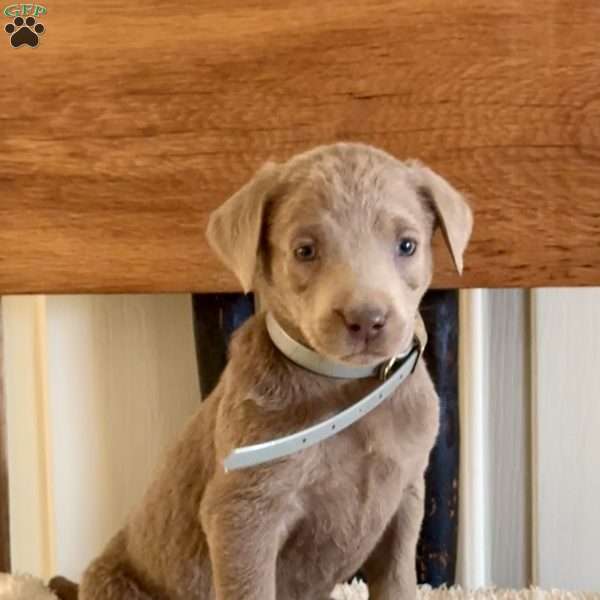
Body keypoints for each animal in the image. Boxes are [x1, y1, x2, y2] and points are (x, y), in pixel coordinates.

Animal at [79, 142, 474, 600]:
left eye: (407, 245)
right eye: (304, 251)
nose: (366, 319)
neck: (347, 387)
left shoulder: (405, 496)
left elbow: (397, 580)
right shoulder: (244, 513)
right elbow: (251, 587)